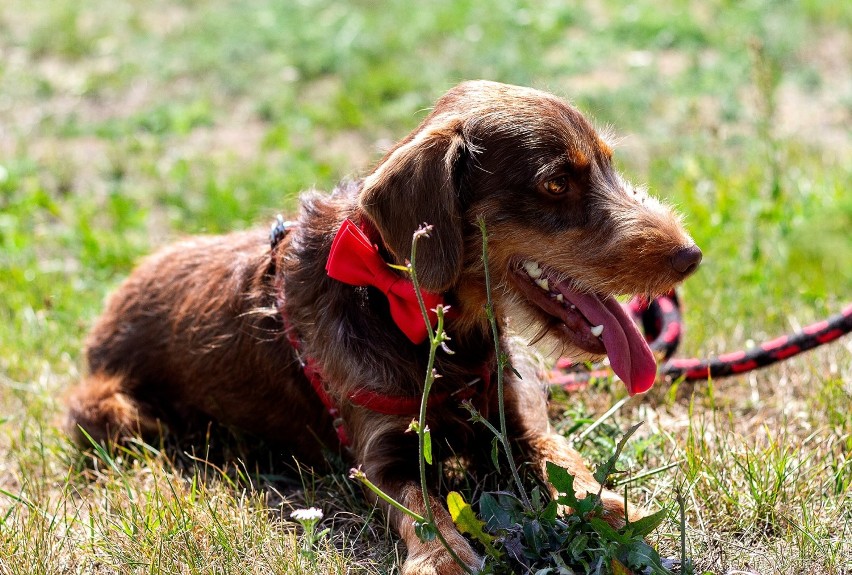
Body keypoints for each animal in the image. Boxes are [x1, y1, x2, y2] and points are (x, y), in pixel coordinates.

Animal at [66, 82, 704, 575]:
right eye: (554, 183)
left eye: (608, 164)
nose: (690, 256)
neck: (424, 324)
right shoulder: (380, 456)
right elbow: (424, 509)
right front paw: (447, 558)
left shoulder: (511, 411)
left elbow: (563, 463)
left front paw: (608, 508)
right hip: (108, 407)